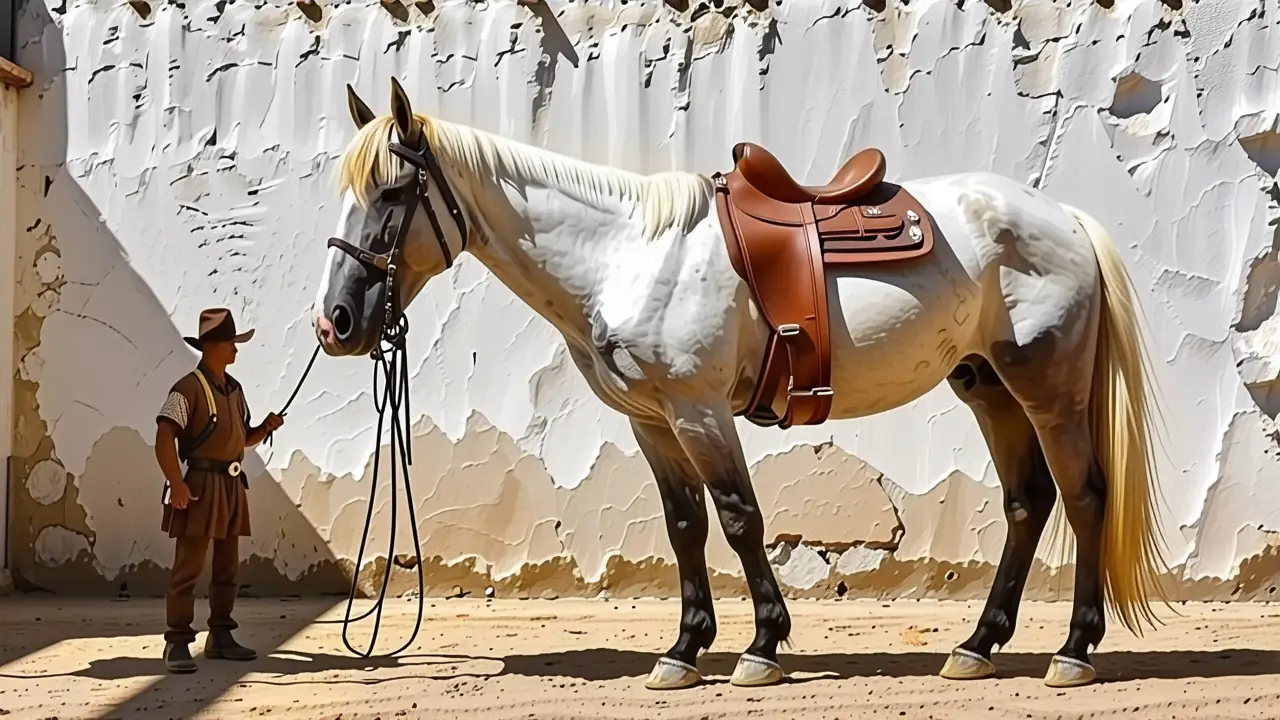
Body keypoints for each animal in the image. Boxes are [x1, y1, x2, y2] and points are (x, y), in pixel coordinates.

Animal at [311, 78, 1170, 691]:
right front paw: (685, 649)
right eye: (346, 195)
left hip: (1047, 387)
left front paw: (760, 645)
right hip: (986, 384)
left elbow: (738, 518)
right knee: (1029, 502)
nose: (337, 323)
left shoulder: (698, 411)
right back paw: (978, 644)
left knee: (1085, 496)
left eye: (392, 194)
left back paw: (1074, 650)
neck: (623, 255)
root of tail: (1062, 217)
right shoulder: (652, 420)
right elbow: (685, 524)